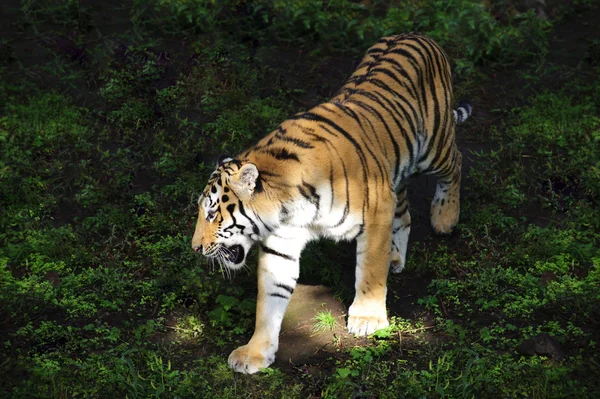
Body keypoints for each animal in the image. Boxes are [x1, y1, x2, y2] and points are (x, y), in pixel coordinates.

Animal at [190, 33, 472, 376]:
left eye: (212, 213)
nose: (195, 248)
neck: (287, 207)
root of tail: (416, 34)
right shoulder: (281, 244)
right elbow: (269, 300)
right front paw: (255, 352)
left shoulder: (376, 213)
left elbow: (369, 270)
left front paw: (367, 318)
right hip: (396, 171)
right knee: (403, 209)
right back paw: (395, 257)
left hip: (434, 147)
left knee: (456, 161)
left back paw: (445, 217)